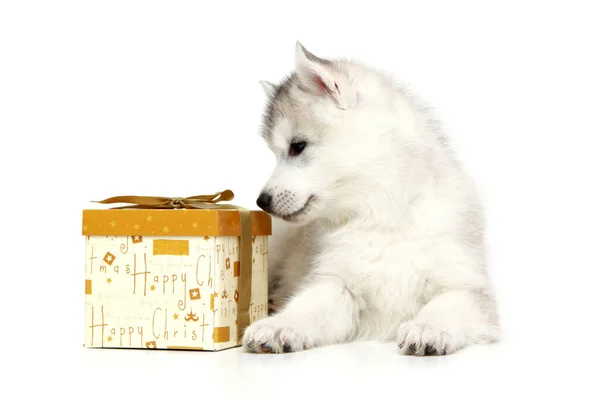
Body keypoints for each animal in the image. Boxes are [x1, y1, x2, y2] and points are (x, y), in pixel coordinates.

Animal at [244, 42, 502, 354]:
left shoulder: (468, 289)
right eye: (276, 152)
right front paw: (279, 324)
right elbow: (306, 307)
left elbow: (445, 306)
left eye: (297, 146)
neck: (379, 214)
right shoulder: (337, 285)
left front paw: (428, 327)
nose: (262, 202)